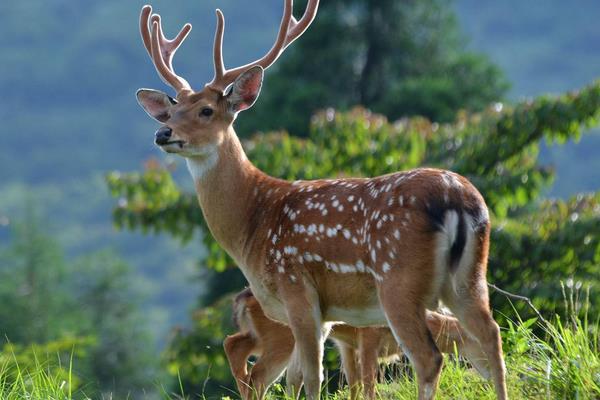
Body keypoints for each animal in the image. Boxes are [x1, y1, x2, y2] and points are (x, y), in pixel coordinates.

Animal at [223, 288, 490, 400]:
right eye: (479, 343)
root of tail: (242, 299)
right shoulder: (368, 336)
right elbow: (368, 381)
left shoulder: (348, 344)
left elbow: (354, 383)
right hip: (281, 338)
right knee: (257, 374)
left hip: (263, 335)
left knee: (233, 344)